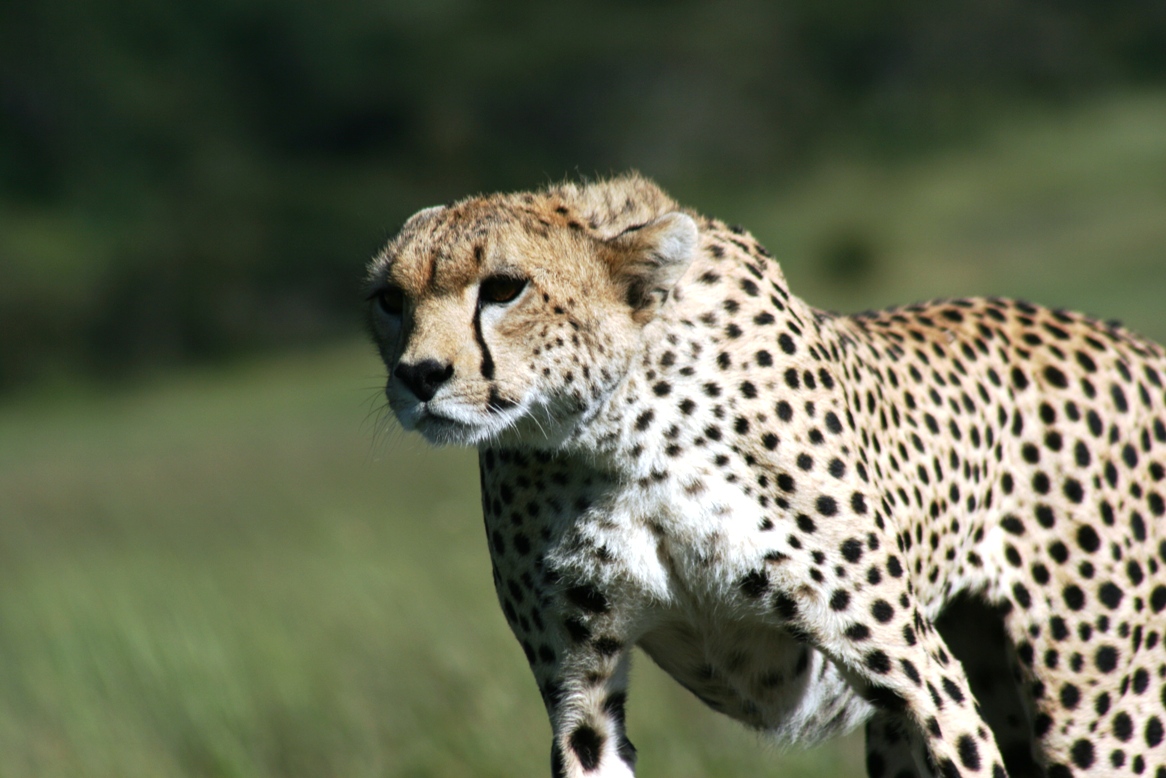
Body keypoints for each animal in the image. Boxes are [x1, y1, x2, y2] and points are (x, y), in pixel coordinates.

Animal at [365, 173, 1166, 778]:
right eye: (389, 300)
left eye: (504, 288)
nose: (419, 376)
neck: (616, 431)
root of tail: (1127, 338)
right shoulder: (578, 689)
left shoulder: (917, 670)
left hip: (1098, 715)